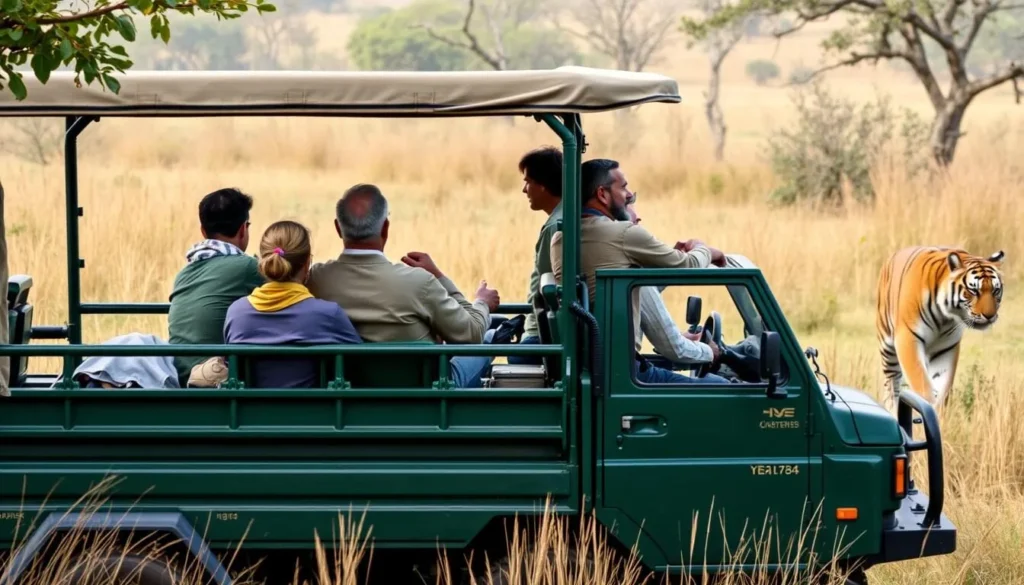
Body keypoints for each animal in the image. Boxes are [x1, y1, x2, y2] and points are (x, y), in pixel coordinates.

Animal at [875, 246, 1005, 410]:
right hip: (888, 348)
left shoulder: (946, 349)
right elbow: (921, 383)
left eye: (995, 290)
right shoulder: (908, 338)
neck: (944, 316)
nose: (989, 315)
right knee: (892, 383)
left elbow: (942, 386)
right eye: (974, 291)